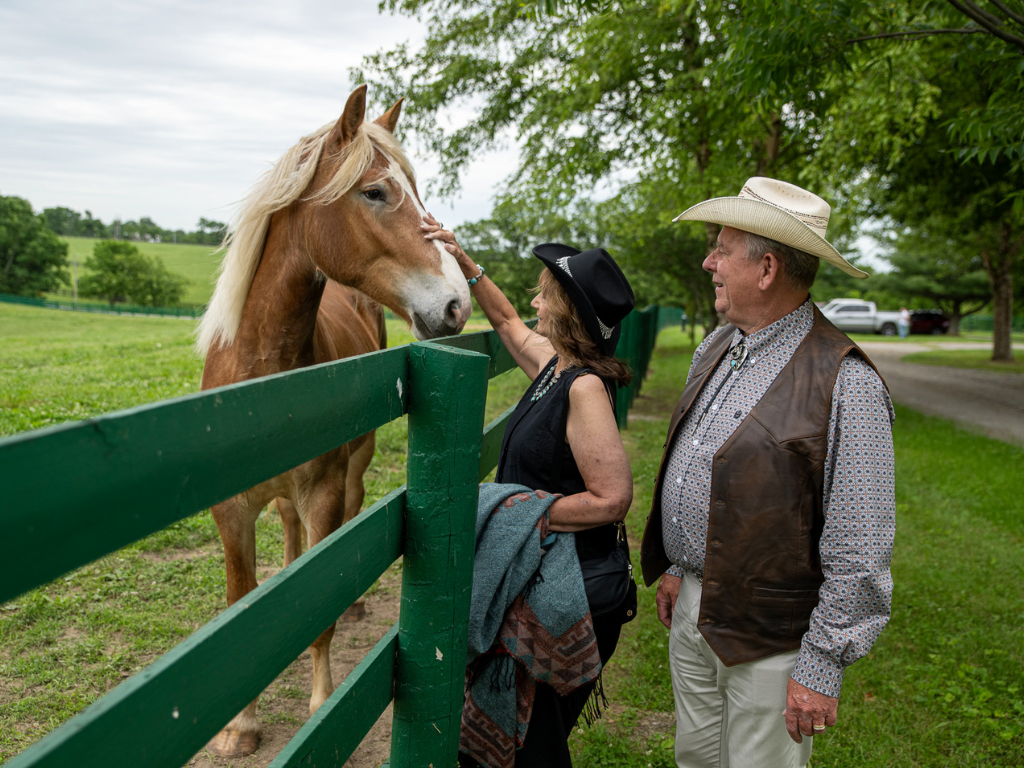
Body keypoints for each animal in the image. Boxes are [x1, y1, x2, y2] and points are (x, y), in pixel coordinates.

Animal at [195, 83, 471, 757]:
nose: (458, 304)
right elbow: (242, 603)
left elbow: (317, 605)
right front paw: (240, 728)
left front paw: (321, 710)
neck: (263, 375)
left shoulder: (320, 489)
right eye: (374, 192)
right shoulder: (231, 511)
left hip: (353, 465)